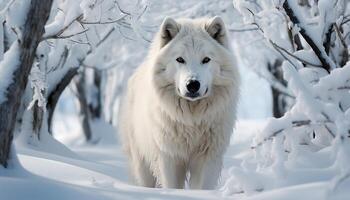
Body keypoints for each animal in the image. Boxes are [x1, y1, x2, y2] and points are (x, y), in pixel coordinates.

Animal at [119, 16, 239, 189]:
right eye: (180, 59)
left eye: (206, 60)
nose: (193, 84)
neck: (192, 120)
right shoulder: (169, 158)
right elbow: (172, 185)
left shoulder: (207, 158)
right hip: (142, 165)